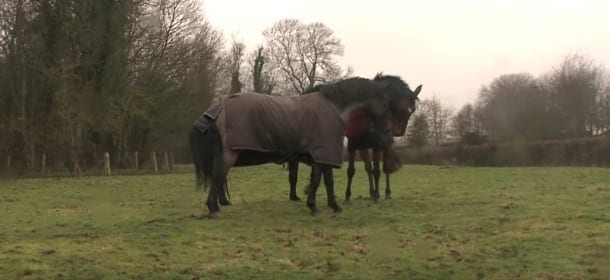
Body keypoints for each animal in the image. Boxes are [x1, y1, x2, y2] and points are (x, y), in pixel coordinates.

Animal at [190, 74, 418, 217]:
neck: (335, 108)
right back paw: (213, 208)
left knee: (218, 177)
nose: (391, 135)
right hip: (229, 154)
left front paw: (334, 205)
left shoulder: (325, 154)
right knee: (218, 176)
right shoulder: (321, 153)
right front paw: (314, 206)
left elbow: (327, 181)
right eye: (398, 106)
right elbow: (317, 180)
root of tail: (217, 109)